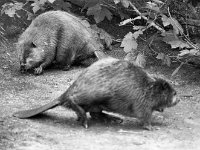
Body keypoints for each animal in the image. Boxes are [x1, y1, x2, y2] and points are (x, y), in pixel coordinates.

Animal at [13, 57, 179, 130]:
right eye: (175, 93)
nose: (179, 100)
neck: (148, 87)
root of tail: (63, 95)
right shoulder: (142, 102)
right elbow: (145, 116)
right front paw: (153, 126)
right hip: (97, 93)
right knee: (76, 102)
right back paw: (84, 120)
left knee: (95, 112)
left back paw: (114, 119)